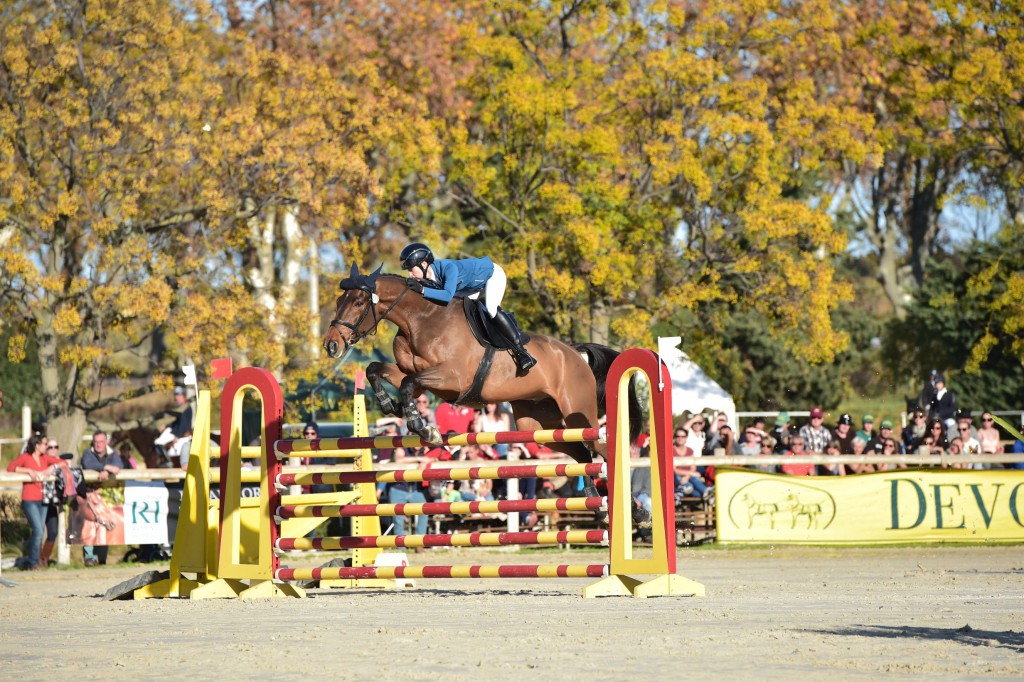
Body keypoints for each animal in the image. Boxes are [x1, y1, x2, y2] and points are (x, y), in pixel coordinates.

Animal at [321, 262, 638, 464]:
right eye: (338, 302)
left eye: (359, 302)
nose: (332, 345)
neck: (419, 320)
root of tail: (574, 353)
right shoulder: (418, 375)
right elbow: (378, 371)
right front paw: (391, 406)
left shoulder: (452, 379)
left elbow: (409, 384)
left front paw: (423, 428)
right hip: (537, 421)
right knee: (582, 453)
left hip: (577, 412)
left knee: (599, 447)